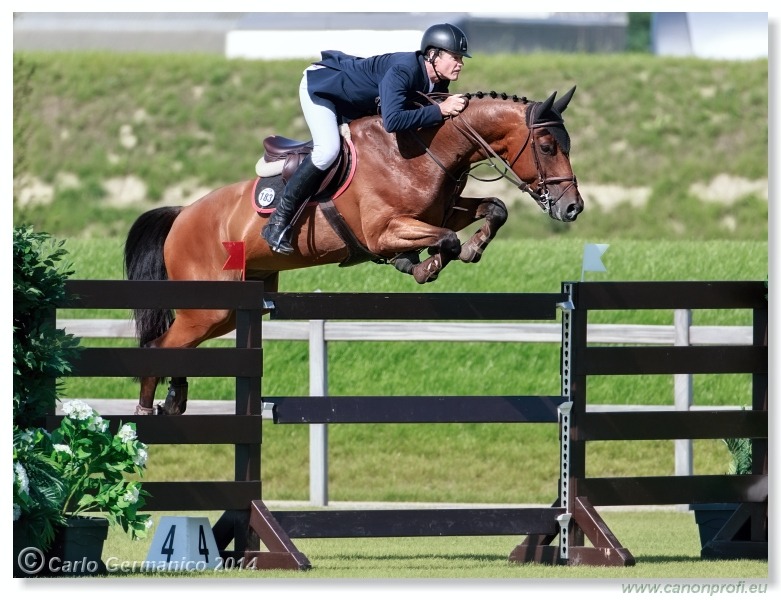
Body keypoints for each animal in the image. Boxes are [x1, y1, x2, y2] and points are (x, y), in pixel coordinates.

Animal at [125, 88, 580, 418]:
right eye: (547, 146)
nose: (572, 208)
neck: (420, 149)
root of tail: (182, 215)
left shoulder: (441, 210)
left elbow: (493, 209)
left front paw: (469, 248)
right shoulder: (384, 231)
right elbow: (446, 239)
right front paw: (426, 265)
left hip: (229, 309)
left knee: (178, 347)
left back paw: (173, 399)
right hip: (208, 307)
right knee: (159, 346)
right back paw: (147, 410)